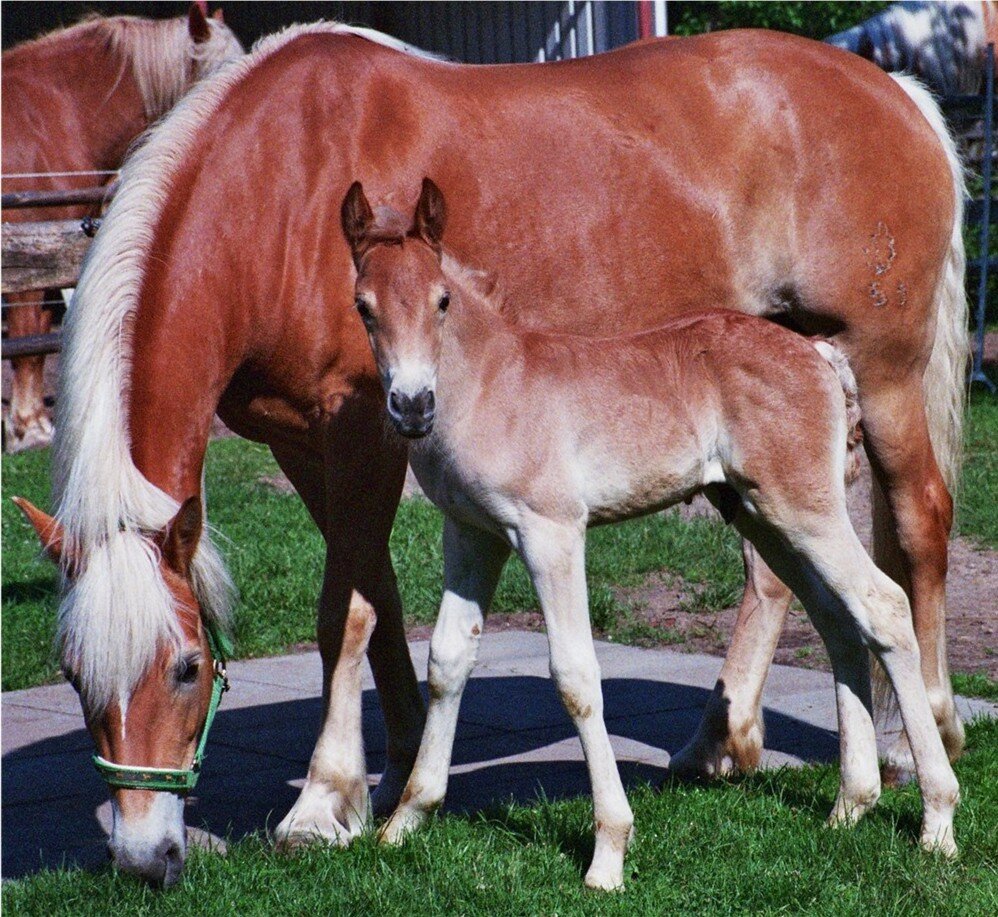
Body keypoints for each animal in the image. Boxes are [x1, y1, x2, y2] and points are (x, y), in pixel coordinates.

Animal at [342, 179, 960, 888]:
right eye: (363, 307)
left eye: (442, 300)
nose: (412, 408)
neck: (492, 384)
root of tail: (819, 354)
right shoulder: (471, 535)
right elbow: (447, 661)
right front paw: (405, 821)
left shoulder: (551, 533)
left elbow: (575, 675)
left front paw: (608, 852)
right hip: (763, 514)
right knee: (838, 618)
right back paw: (850, 807)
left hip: (806, 507)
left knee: (883, 605)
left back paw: (937, 821)